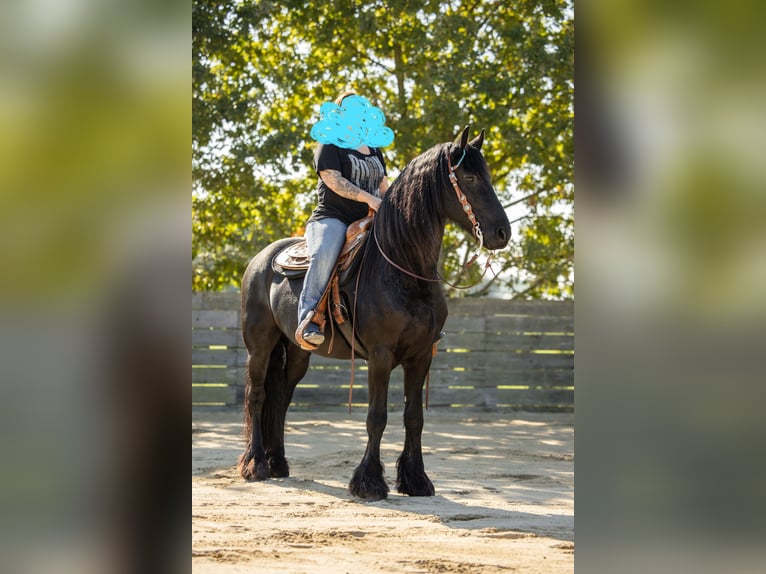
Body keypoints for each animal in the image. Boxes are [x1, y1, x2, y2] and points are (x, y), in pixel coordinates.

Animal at [237, 126, 510, 500]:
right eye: (469, 176)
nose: (502, 232)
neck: (402, 269)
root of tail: (261, 259)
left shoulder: (421, 356)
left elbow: (413, 417)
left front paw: (416, 480)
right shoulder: (380, 356)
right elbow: (376, 417)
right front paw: (368, 482)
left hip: (296, 351)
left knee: (281, 398)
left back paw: (278, 463)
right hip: (260, 345)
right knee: (257, 395)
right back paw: (256, 466)